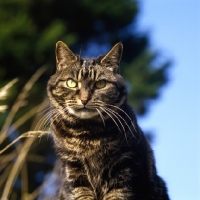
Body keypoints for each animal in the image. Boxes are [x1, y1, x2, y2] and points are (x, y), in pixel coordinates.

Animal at [47, 41, 170, 200]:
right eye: (71, 83)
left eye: (100, 84)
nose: (84, 99)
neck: (88, 134)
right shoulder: (73, 170)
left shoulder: (123, 168)